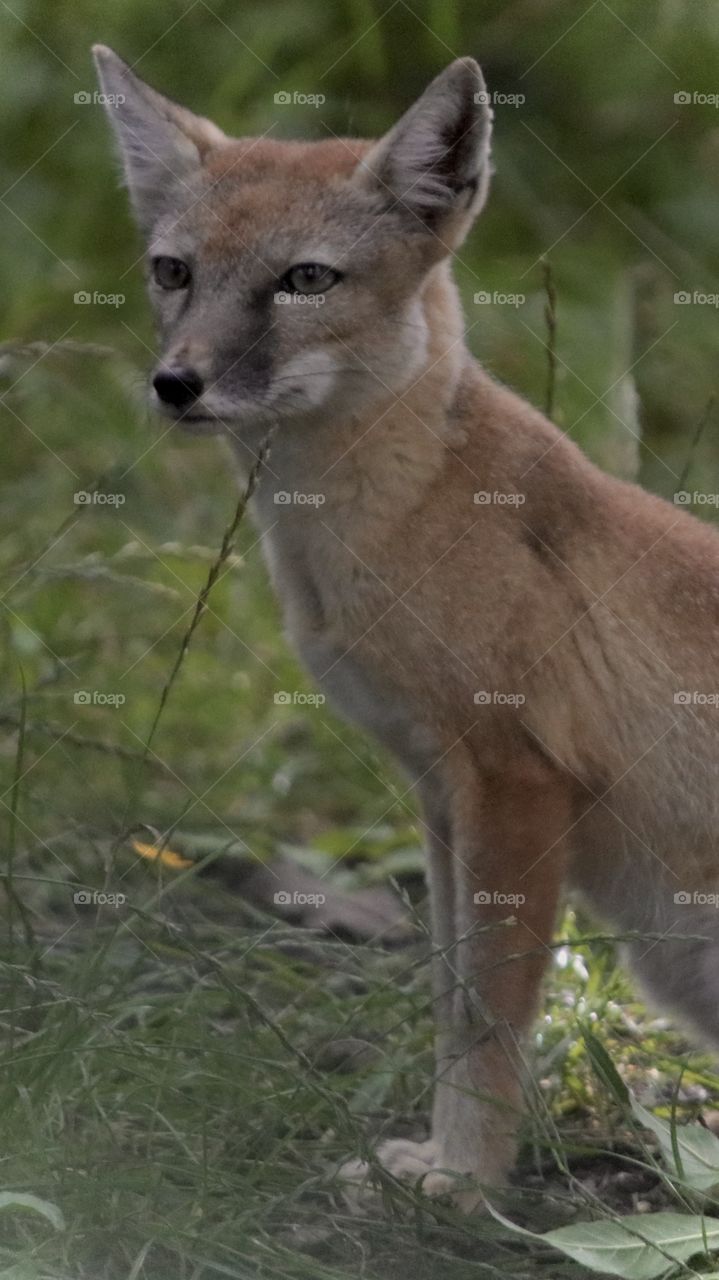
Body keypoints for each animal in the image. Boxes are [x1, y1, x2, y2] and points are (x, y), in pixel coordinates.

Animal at [93, 45, 719, 1210]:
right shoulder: (438, 793)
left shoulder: (511, 782)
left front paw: (466, 1180)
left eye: (304, 280)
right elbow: (445, 999)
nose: (173, 383)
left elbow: (488, 1017)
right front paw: (436, 1158)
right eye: (172, 271)